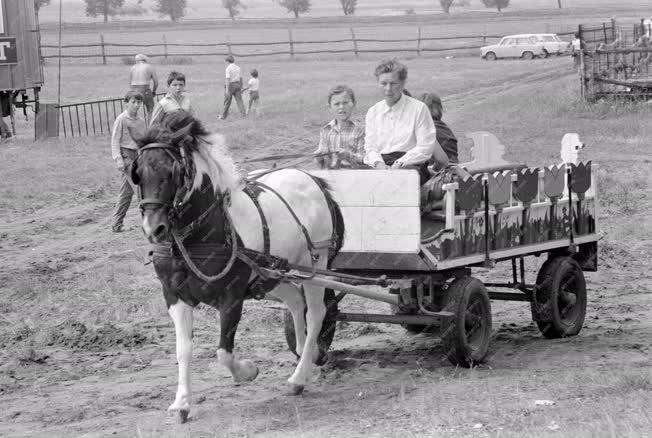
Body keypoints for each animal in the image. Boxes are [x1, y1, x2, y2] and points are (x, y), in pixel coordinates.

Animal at [130, 112, 344, 420]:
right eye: (137, 172)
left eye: (173, 172)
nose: (154, 228)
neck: (200, 237)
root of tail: (312, 178)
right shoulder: (174, 296)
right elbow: (183, 350)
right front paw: (182, 402)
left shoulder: (231, 297)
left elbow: (223, 352)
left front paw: (247, 371)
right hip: (271, 273)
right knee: (295, 302)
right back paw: (309, 350)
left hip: (312, 265)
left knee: (316, 313)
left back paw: (299, 377)